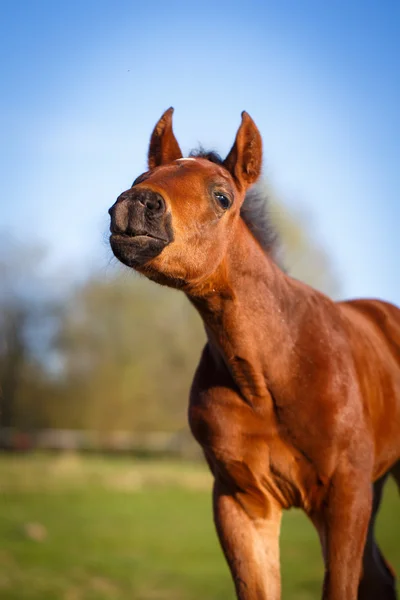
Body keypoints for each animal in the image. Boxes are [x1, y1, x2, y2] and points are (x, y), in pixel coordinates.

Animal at [108, 109, 400, 600]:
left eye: (222, 196)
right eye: (140, 178)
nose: (135, 204)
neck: (275, 372)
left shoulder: (346, 495)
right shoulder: (242, 501)